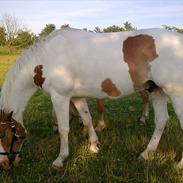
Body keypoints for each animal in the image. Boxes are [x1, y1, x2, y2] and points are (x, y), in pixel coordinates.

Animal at [0, 27, 183, 171]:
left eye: (3, 135)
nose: (5, 164)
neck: (47, 58)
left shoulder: (60, 97)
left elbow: (64, 129)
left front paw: (60, 159)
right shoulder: (77, 97)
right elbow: (87, 120)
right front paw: (94, 146)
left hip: (175, 94)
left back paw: (179, 165)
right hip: (156, 91)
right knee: (161, 121)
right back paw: (146, 153)